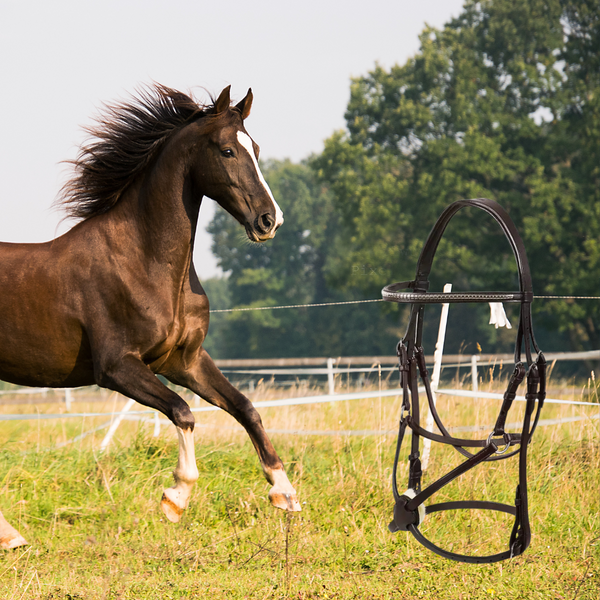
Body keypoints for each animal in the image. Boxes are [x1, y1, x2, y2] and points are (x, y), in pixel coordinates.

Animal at [0, 83, 300, 548]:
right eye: (227, 150)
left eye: (256, 148)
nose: (270, 220)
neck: (144, 261)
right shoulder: (117, 367)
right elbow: (183, 412)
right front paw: (175, 498)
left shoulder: (184, 361)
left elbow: (245, 407)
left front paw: (284, 493)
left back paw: (11, 537)